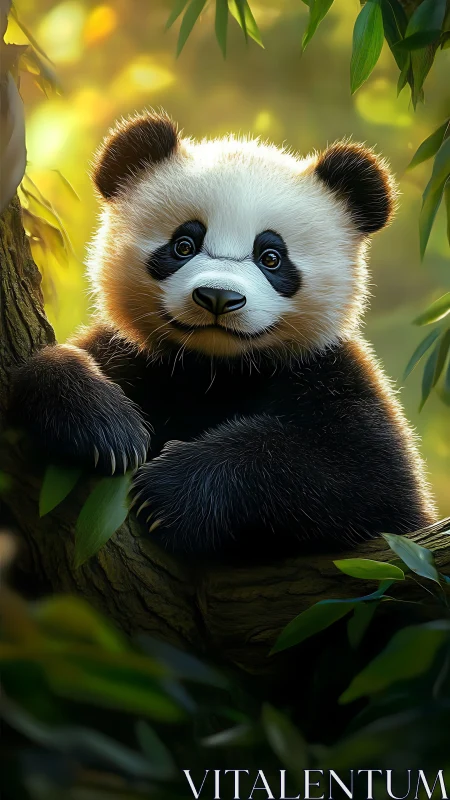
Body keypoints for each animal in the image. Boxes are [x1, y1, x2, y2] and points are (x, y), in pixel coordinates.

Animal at [11, 109, 438, 561]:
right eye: (183, 245)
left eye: (271, 257)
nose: (218, 297)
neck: (216, 366)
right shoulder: (139, 357)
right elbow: (50, 368)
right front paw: (106, 429)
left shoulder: (328, 371)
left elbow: (364, 477)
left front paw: (171, 490)